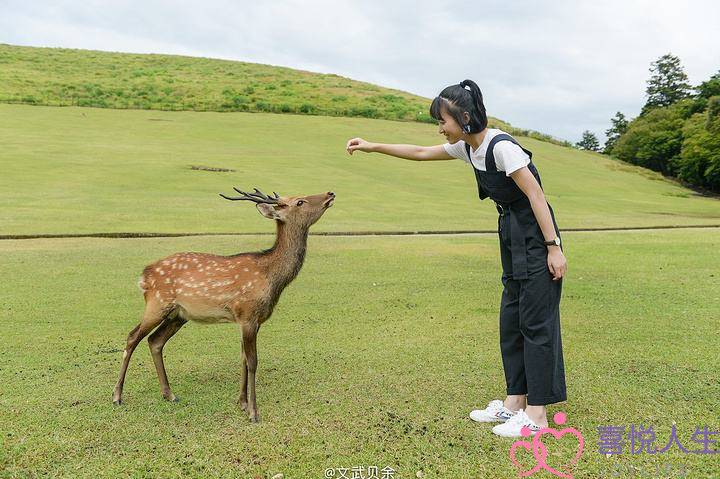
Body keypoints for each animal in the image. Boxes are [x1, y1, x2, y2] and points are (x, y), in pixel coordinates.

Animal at [112, 188, 334, 424]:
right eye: (300, 201)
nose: (330, 193)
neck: (272, 279)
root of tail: (144, 276)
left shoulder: (254, 320)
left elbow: (243, 358)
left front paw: (242, 403)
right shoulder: (247, 314)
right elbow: (253, 361)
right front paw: (254, 412)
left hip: (178, 315)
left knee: (155, 340)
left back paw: (169, 394)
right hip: (157, 303)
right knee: (133, 336)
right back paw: (117, 396)